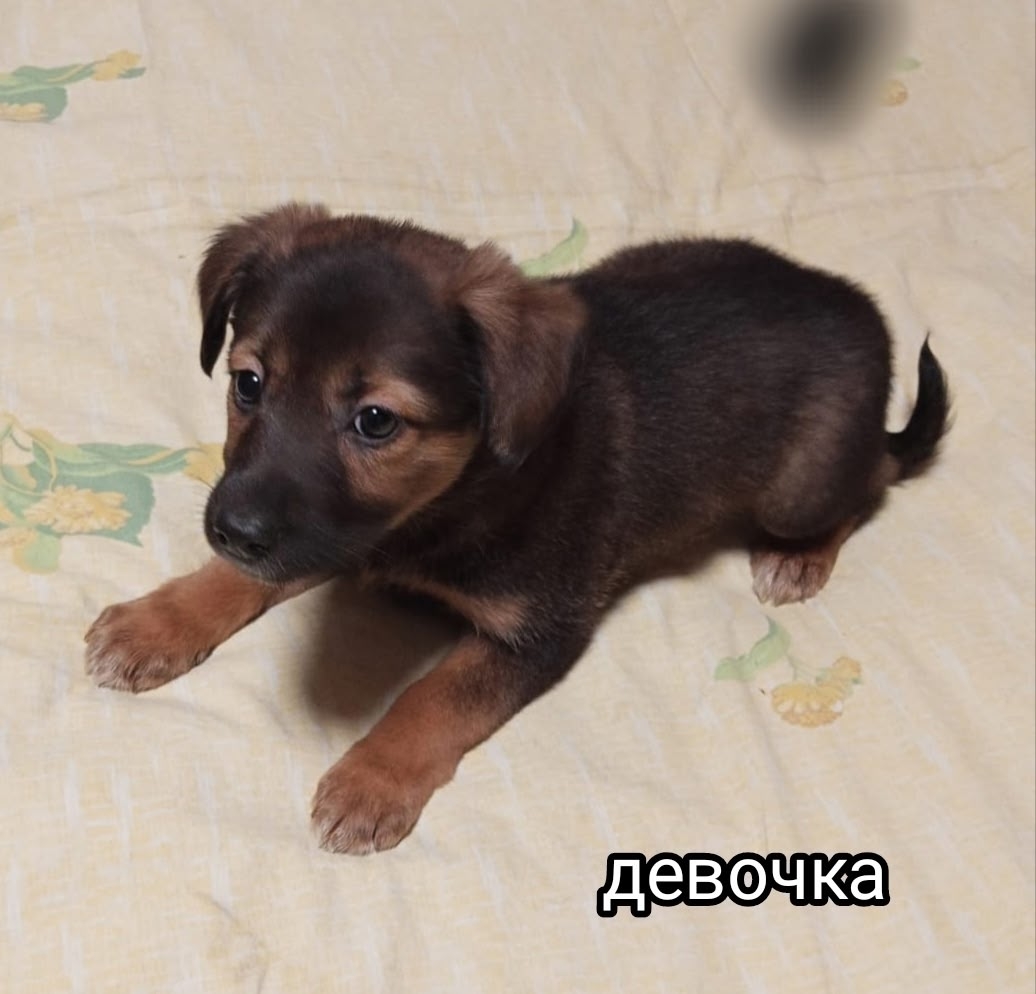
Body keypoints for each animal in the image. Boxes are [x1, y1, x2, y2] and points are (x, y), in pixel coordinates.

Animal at [85, 203, 949, 854]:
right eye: (248, 383)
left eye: (375, 421)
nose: (232, 529)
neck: (459, 489)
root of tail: (856, 304)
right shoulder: (335, 532)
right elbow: (244, 579)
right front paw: (155, 622)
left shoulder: (537, 628)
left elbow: (434, 694)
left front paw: (371, 782)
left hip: (799, 485)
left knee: (872, 477)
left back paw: (798, 558)